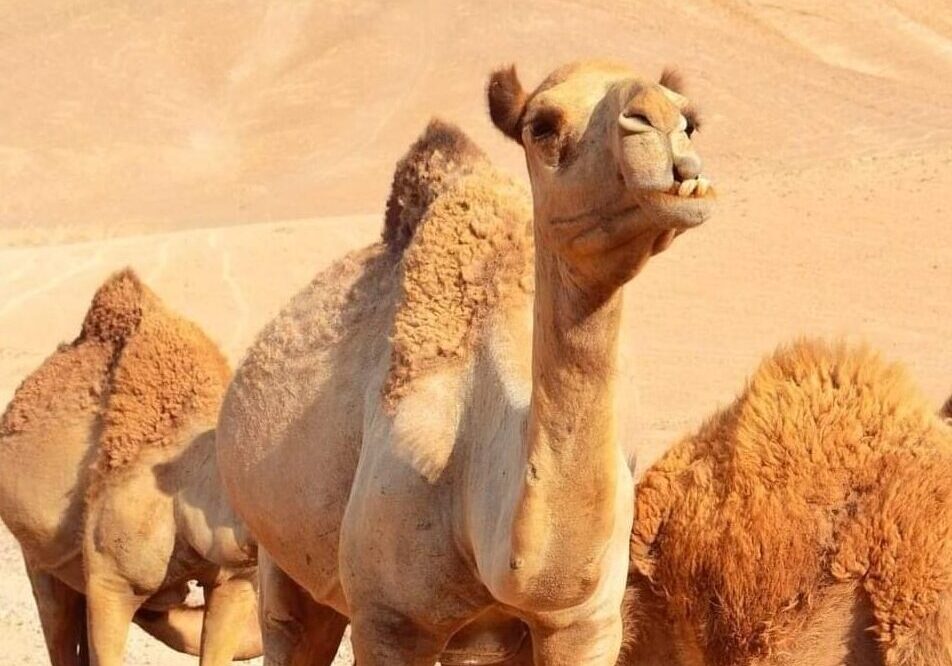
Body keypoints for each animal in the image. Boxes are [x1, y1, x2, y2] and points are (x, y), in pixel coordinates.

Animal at [216, 59, 715, 665]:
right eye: (542, 125)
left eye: (691, 117)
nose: (663, 122)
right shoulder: (389, 620)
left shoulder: (587, 622)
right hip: (281, 560)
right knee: (291, 623)